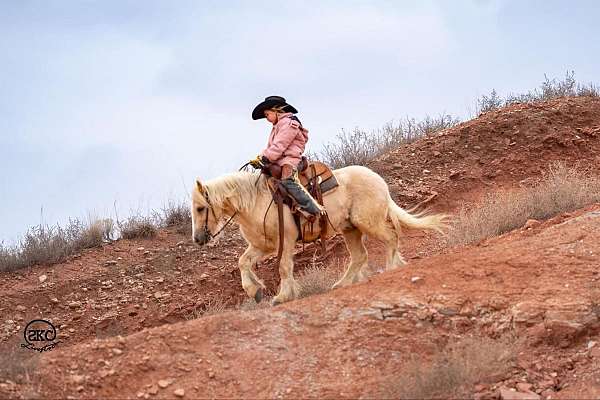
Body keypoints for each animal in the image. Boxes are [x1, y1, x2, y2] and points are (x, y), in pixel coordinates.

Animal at [192, 164, 446, 304]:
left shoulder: (286, 242)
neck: (255, 202)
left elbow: (284, 268)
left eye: (201, 208)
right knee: (360, 256)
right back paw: (341, 284)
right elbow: (243, 262)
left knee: (391, 237)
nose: (198, 239)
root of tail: (378, 180)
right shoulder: (262, 246)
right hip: (350, 229)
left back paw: (392, 267)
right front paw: (255, 291)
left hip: (368, 222)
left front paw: (282, 296)